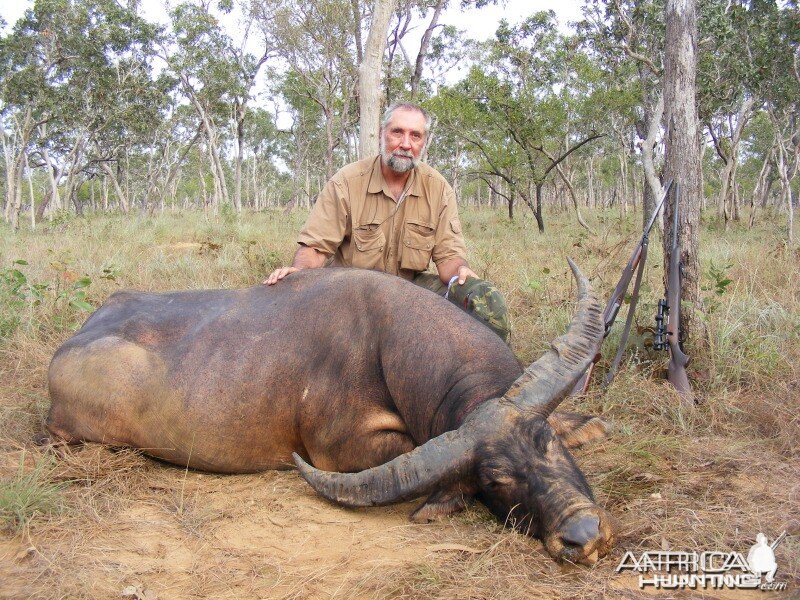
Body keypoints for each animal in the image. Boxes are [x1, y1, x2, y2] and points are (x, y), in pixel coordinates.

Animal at [47, 260, 616, 564]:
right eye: (495, 479)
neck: (386, 334)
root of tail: (69, 348)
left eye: (546, 441)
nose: (583, 535)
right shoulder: (338, 451)